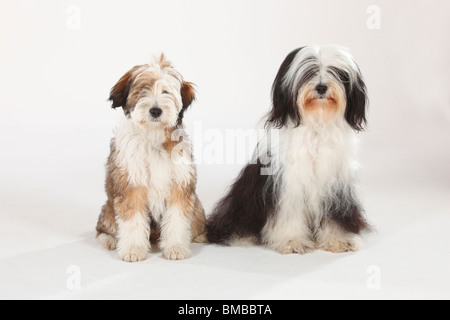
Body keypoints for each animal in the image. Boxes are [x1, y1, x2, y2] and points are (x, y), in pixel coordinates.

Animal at [97, 53, 207, 262]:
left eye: (166, 92)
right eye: (143, 90)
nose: (155, 110)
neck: (153, 136)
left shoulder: (180, 185)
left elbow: (177, 219)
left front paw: (175, 247)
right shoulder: (130, 185)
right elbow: (132, 220)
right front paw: (133, 249)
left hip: (197, 207)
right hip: (109, 208)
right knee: (103, 227)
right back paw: (109, 240)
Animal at [207, 45, 370, 255]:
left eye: (337, 72)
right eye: (308, 71)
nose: (321, 87)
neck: (316, 125)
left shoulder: (337, 185)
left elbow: (335, 216)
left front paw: (339, 240)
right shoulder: (288, 184)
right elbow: (290, 214)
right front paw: (293, 241)